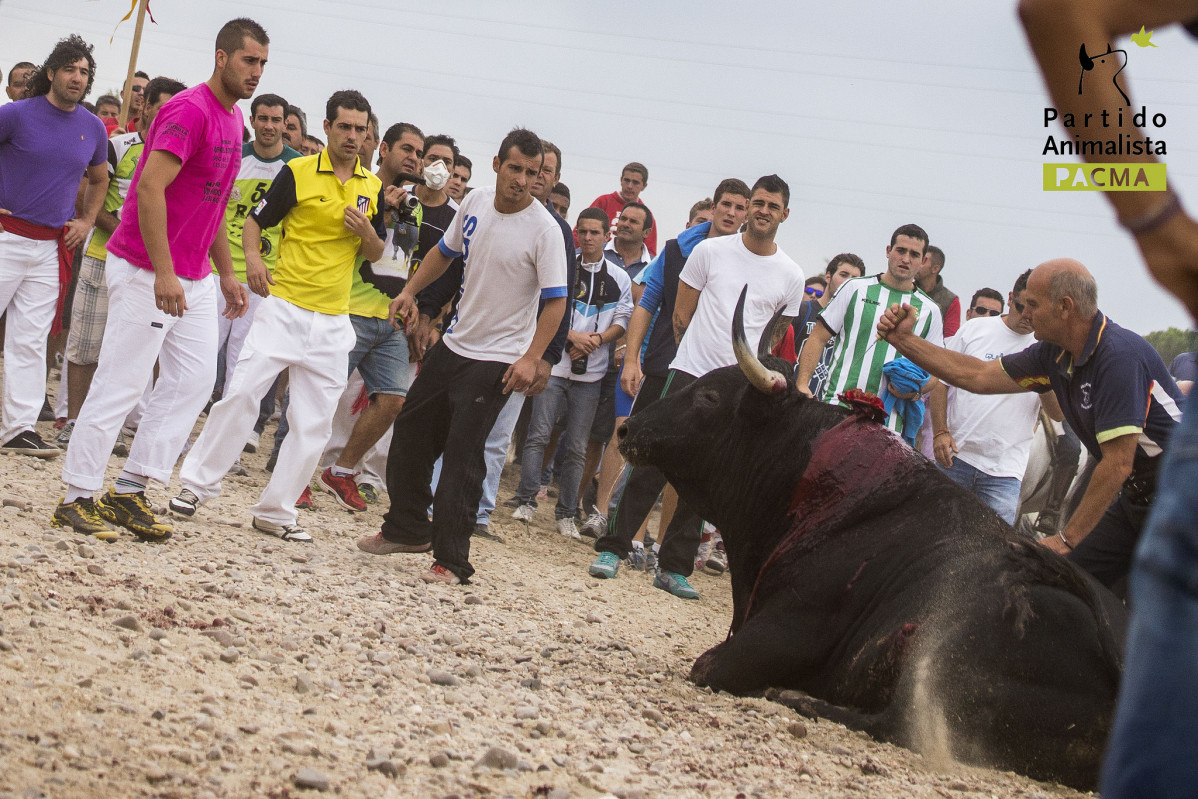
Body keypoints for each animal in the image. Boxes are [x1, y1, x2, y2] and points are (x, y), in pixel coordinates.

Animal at [618, 298, 1121, 785]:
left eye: (708, 396)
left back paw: (795, 696)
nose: (626, 429)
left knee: (894, 725)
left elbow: (709, 665)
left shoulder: (787, 628)